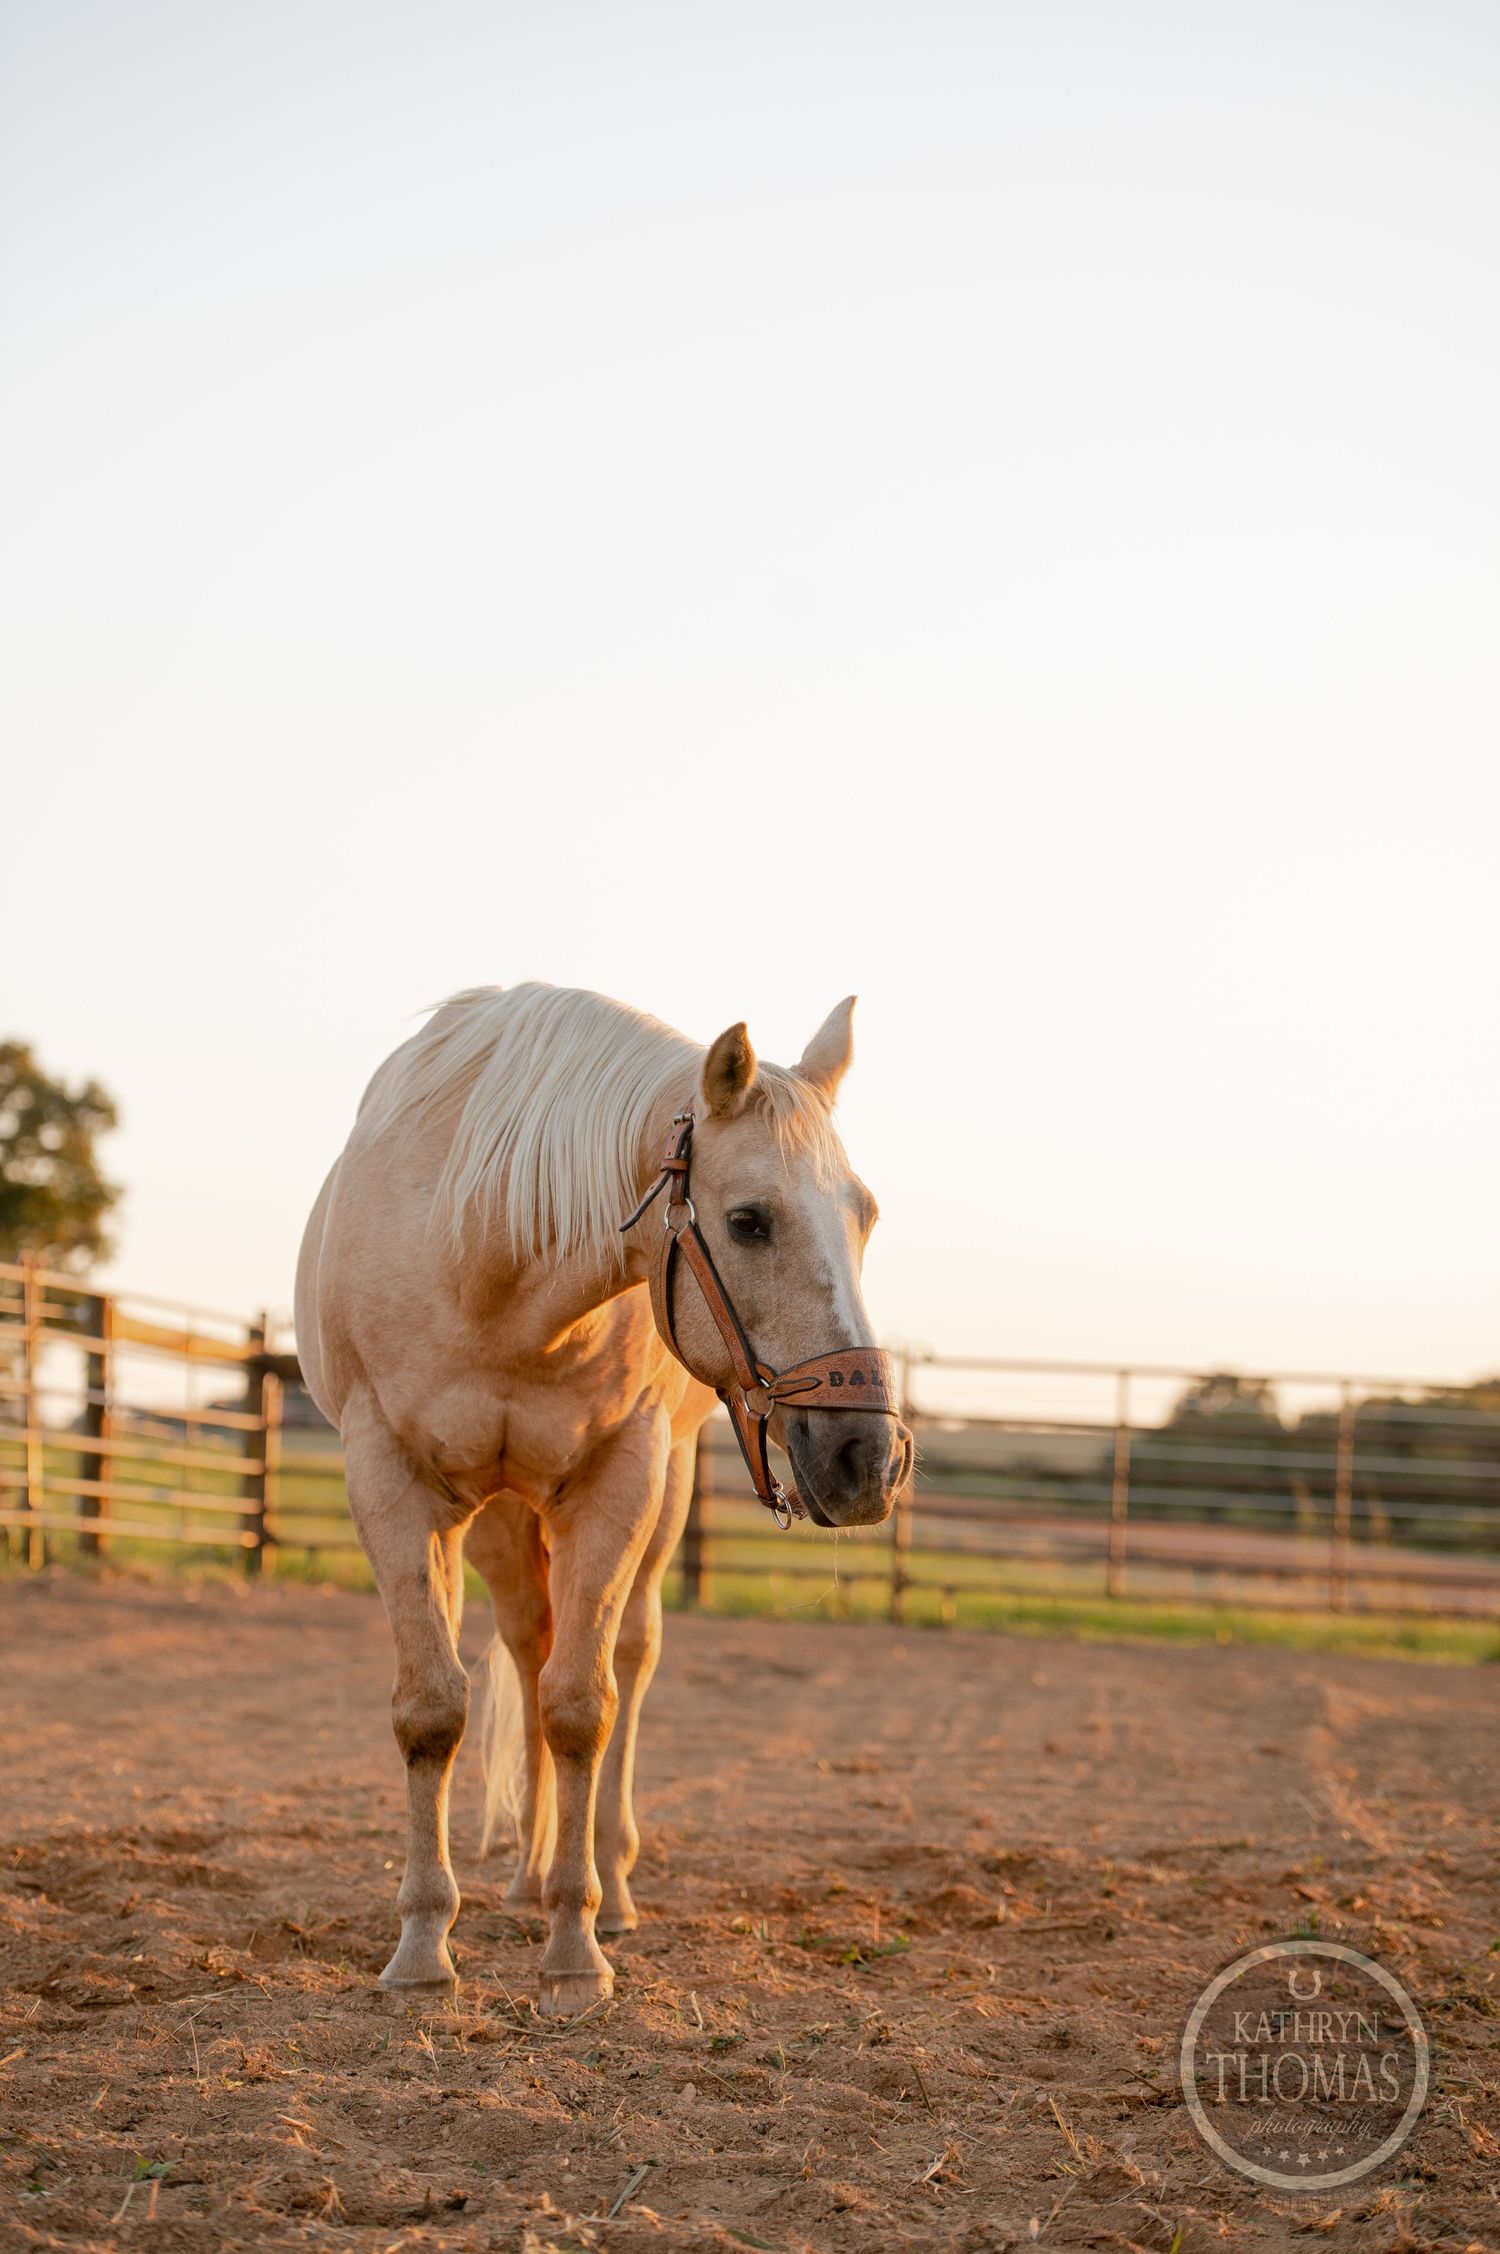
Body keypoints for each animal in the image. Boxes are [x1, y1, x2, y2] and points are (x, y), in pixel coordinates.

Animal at [294, 982, 912, 2013]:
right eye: (749, 1221)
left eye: (864, 1216)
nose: (870, 1458)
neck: (486, 1251)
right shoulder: (386, 1474)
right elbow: (433, 1709)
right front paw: (422, 1948)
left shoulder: (620, 1477)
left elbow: (584, 1704)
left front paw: (576, 1950)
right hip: (503, 1518)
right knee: (526, 1643)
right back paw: (524, 1875)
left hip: (657, 1500)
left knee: (624, 1656)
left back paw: (604, 1888)